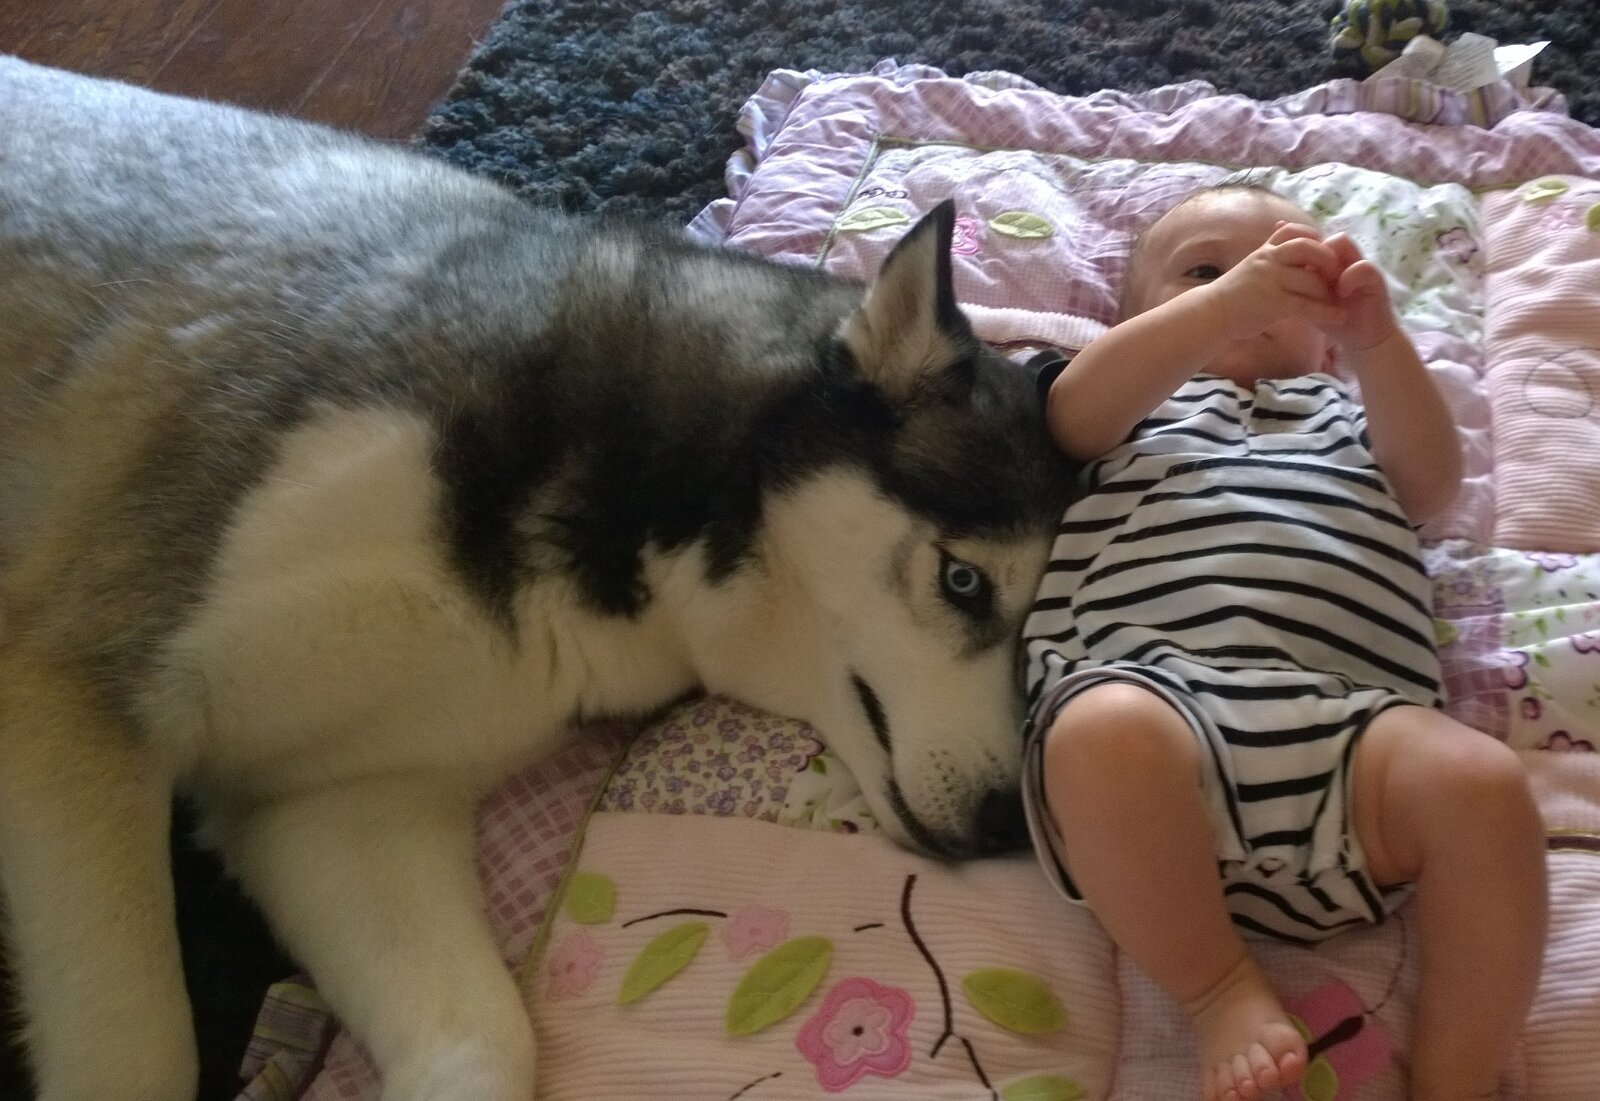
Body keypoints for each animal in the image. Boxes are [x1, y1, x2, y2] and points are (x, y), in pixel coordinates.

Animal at [0, 57, 1075, 1101]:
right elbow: (139, 1056)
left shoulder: (337, 803)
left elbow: (485, 1044)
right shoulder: (78, 688)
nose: (1003, 825)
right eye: (966, 582)